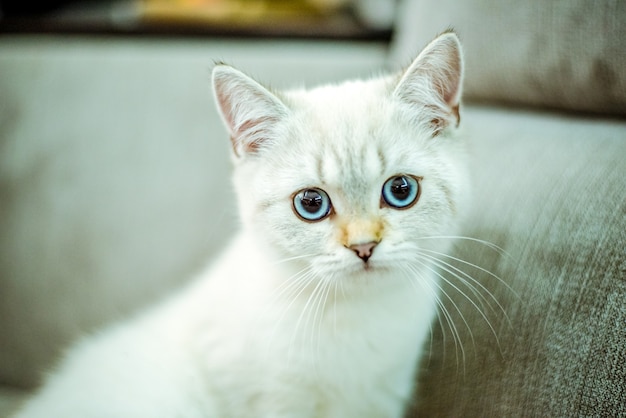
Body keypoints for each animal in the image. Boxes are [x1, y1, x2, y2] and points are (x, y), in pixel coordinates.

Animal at [14, 31, 466, 418]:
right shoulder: (273, 402)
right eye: (311, 203)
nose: (363, 247)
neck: (356, 315)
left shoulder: (382, 397)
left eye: (401, 191)